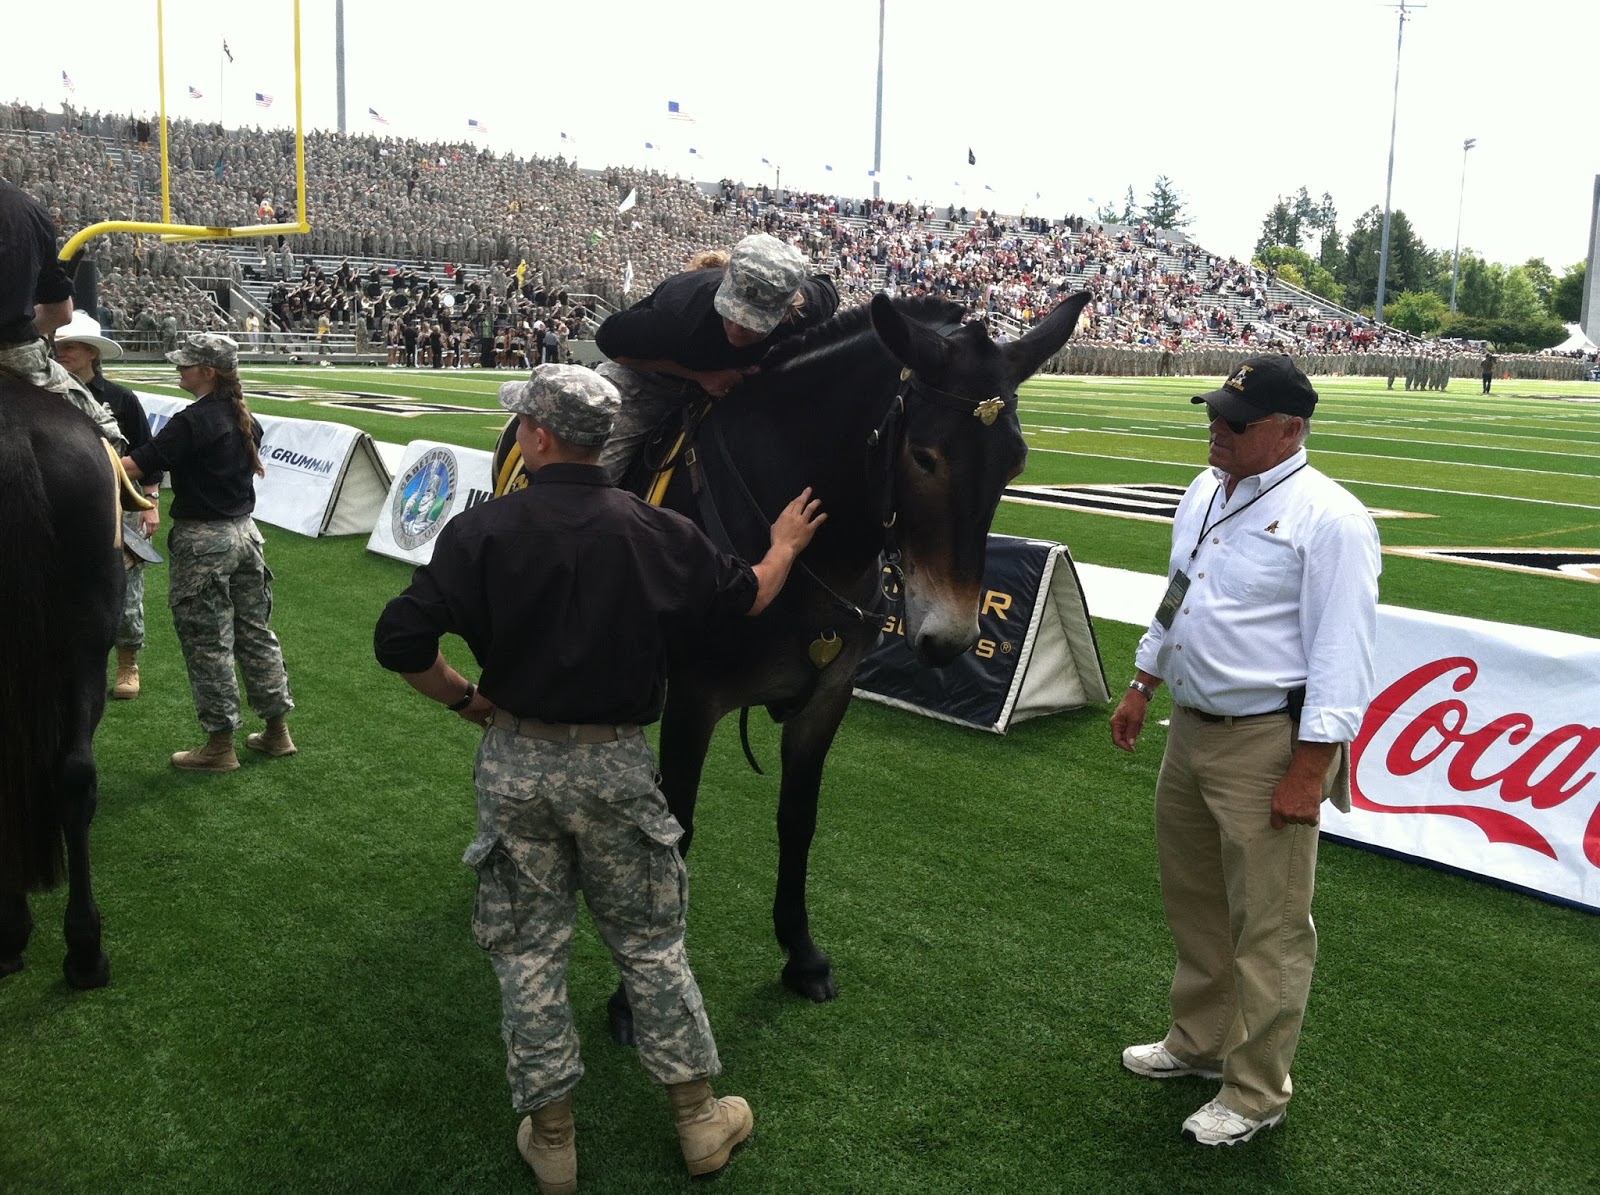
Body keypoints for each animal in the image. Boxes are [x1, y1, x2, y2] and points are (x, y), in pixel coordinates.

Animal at [496, 291, 1090, 1039]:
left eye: (1016, 461)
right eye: (924, 456)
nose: (951, 637)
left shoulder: (825, 697)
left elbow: (797, 819)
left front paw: (800, 953)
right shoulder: (695, 697)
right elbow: (679, 824)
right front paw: (635, 997)